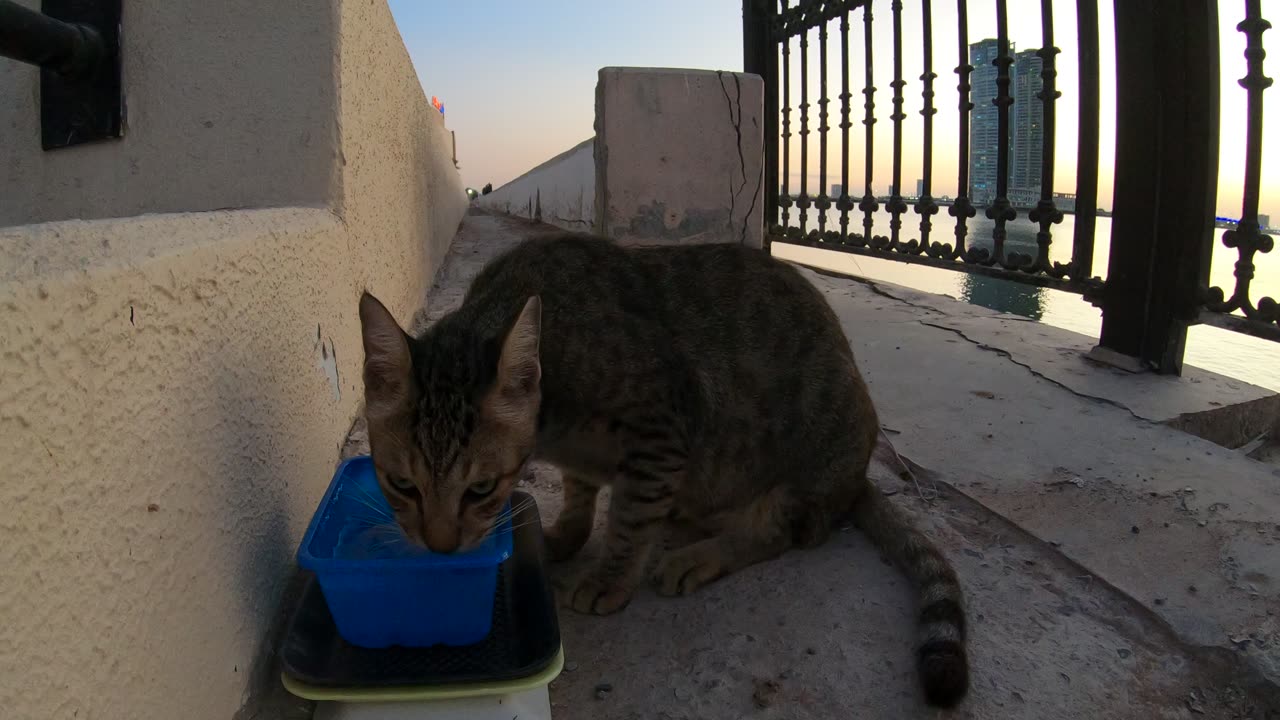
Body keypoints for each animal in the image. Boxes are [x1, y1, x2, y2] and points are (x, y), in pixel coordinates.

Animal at [355, 233, 962, 702]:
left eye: (481, 488)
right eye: (401, 484)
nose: (440, 549)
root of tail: (857, 478)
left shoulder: (663, 430)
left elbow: (628, 520)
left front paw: (609, 579)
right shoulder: (590, 457)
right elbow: (579, 495)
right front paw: (563, 535)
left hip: (802, 461)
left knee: (782, 531)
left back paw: (698, 555)